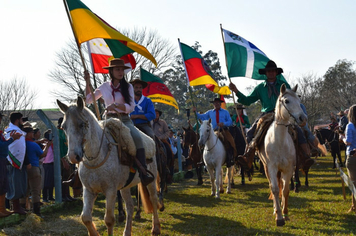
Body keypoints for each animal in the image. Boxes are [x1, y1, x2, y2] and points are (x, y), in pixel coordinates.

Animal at [56, 97, 160, 236]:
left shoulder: (110, 190)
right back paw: (127, 232)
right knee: (130, 206)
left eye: (81, 124)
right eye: (63, 127)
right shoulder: (88, 190)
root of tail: (151, 140)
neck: (96, 159)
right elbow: (85, 217)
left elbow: (109, 220)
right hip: (125, 186)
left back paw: (156, 228)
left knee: (153, 199)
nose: (73, 156)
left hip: (151, 180)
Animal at [258, 84, 306, 226]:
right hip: (266, 167)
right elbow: (274, 189)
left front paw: (285, 213)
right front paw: (279, 217)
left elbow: (285, 190)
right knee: (271, 186)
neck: (279, 141)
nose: (303, 118)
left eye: (299, 100)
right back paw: (275, 209)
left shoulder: (288, 169)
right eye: (287, 101)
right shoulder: (272, 168)